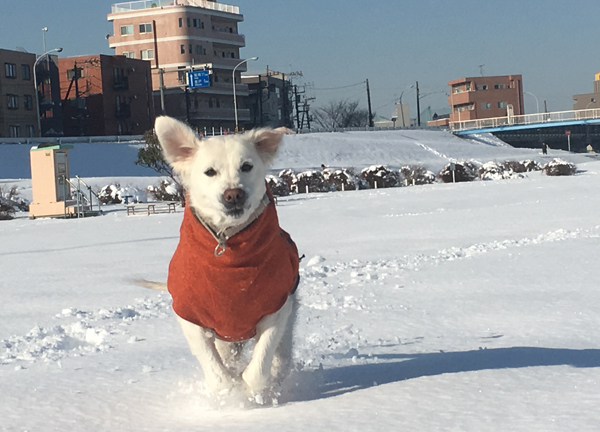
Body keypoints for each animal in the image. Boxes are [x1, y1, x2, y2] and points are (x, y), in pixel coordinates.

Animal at [145, 116, 300, 400]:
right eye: (209, 172)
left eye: (247, 166)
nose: (233, 194)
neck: (227, 250)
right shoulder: (191, 317)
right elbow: (217, 374)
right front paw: (230, 389)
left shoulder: (277, 309)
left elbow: (259, 367)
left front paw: (249, 388)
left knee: (281, 356)